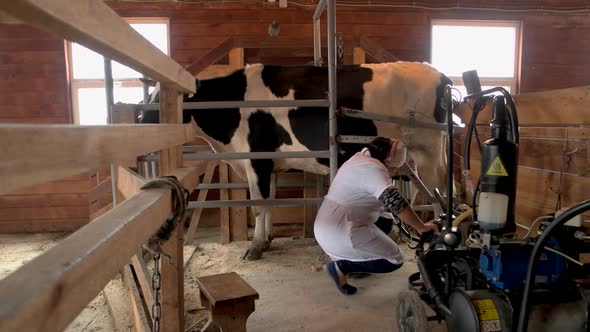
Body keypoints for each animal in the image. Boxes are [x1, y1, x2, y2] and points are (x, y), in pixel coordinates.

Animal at [142, 61, 454, 260]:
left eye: (155, 101)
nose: (140, 119)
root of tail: (440, 75)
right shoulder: (270, 166)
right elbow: (270, 202)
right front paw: (267, 239)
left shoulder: (257, 160)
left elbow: (258, 206)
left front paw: (255, 247)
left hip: (428, 148)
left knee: (438, 192)